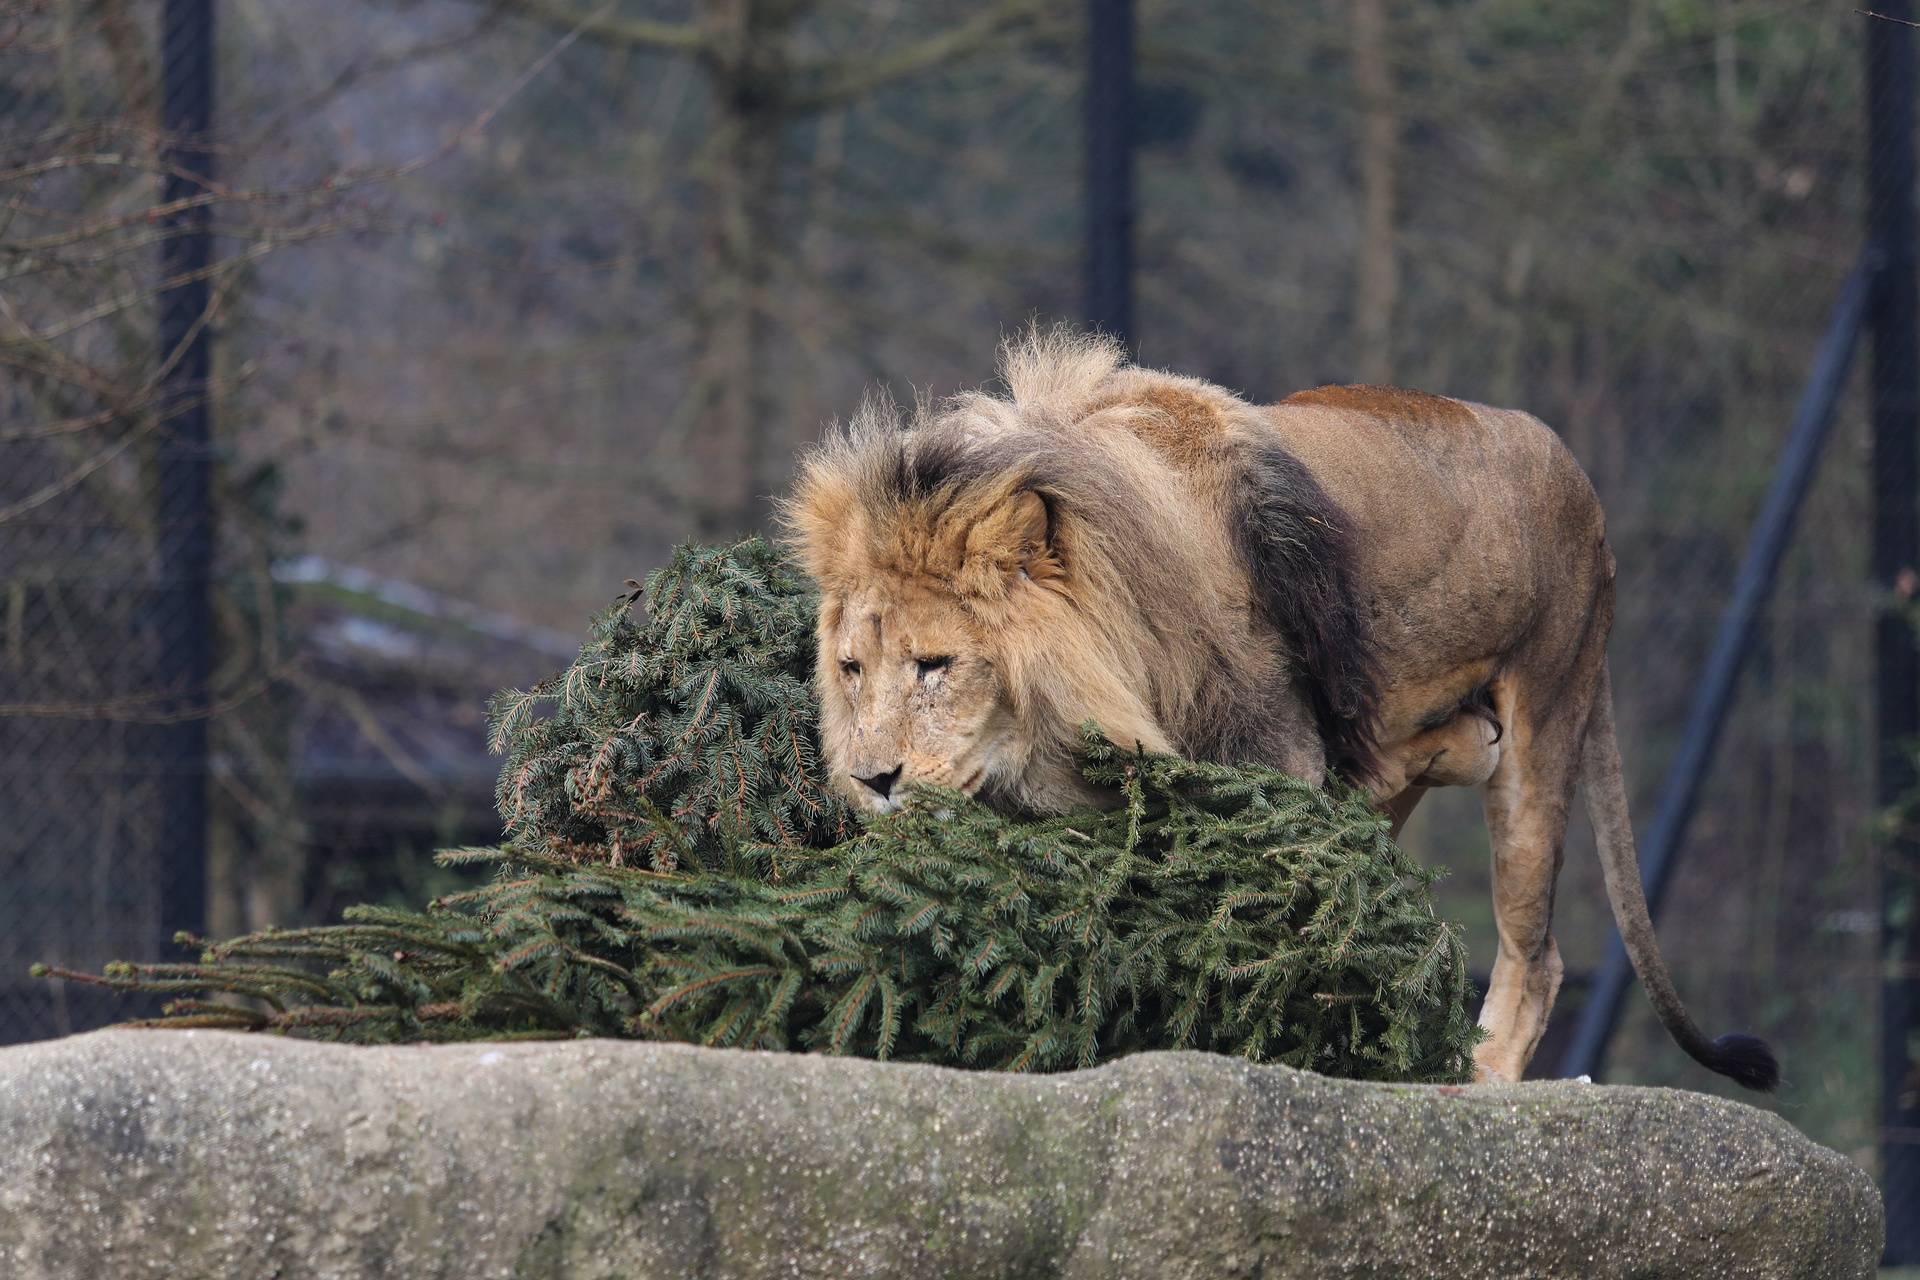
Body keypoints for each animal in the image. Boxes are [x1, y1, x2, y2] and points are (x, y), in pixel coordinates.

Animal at [787, 330, 1774, 1090]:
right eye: (851, 670)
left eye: (936, 666)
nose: (872, 781)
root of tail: (1582, 487)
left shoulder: (1276, 770)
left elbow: (1282, 942)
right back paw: (1455, 744)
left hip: (1550, 708)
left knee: (1537, 956)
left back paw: (1481, 1079)